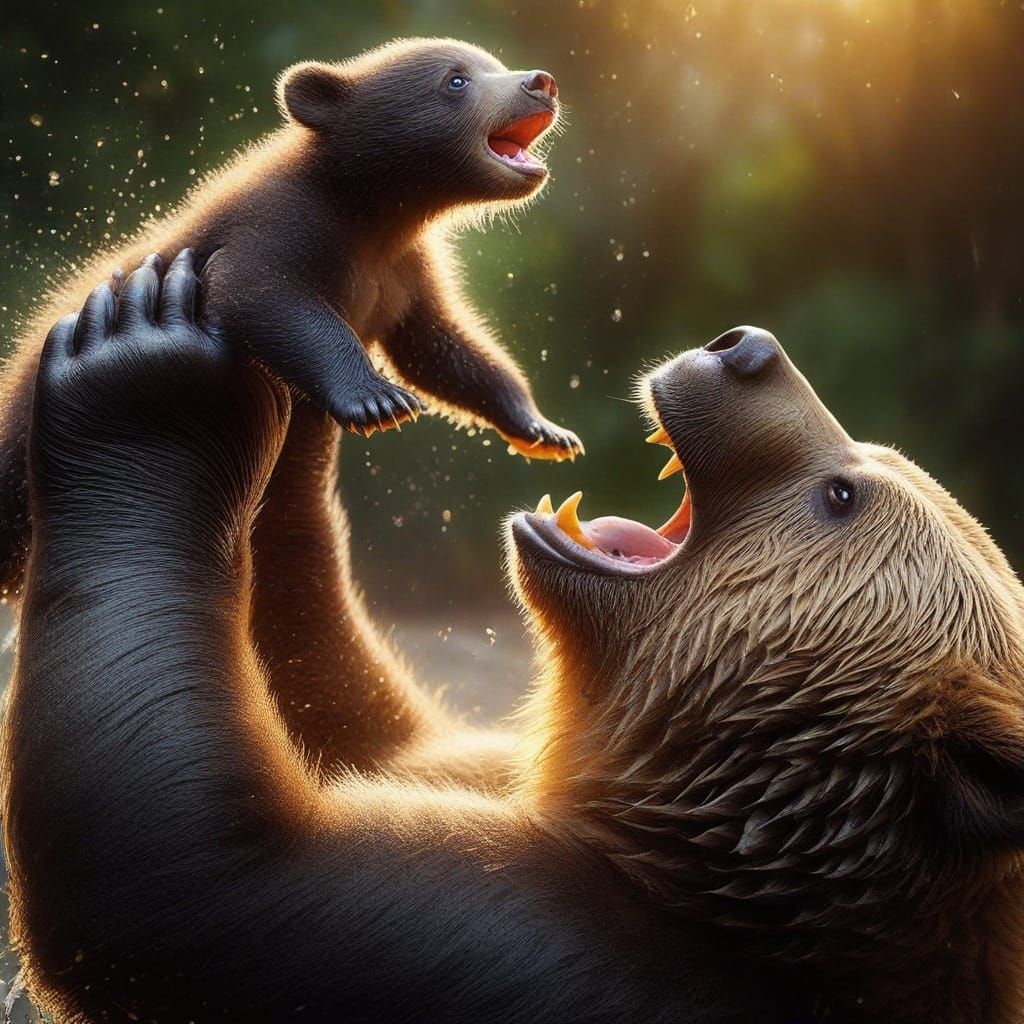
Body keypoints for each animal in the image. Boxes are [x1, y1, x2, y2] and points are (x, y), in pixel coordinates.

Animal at [0, 37, 583, 606]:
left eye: (493, 62)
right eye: (456, 80)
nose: (541, 83)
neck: (373, 211)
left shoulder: (404, 272)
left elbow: (442, 346)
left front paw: (545, 430)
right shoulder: (285, 222)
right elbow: (260, 293)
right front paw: (379, 398)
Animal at [6, 258, 1024, 1024]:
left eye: (842, 494)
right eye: (869, 462)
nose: (747, 348)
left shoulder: (540, 953)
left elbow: (195, 870)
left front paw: (142, 348)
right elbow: (361, 723)